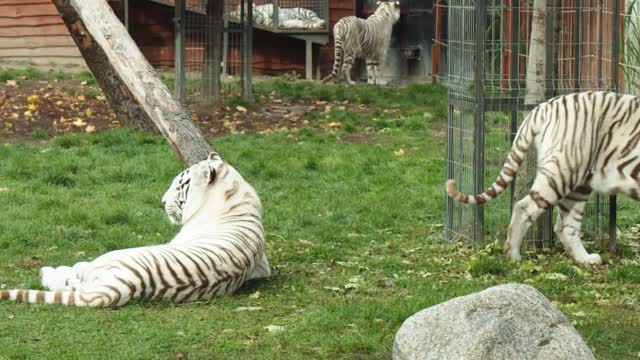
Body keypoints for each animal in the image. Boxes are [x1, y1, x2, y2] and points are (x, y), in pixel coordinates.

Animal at [0, 153, 270, 308]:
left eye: (181, 185)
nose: (162, 201)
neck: (236, 193)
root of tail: (125, 285)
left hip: (109, 258)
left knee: (73, 278)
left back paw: (47, 272)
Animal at [444, 91, 640, 266]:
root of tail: (545, 105)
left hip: (579, 181)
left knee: (565, 225)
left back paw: (586, 259)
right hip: (562, 171)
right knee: (523, 207)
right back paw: (513, 255)